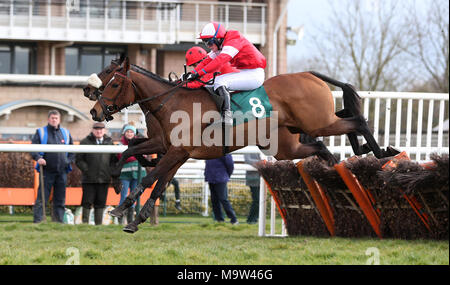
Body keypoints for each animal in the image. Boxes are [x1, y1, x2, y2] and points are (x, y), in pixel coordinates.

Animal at [90, 57, 398, 233]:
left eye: (113, 82)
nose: (94, 110)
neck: (172, 102)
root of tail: (310, 75)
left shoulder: (176, 151)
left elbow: (150, 178)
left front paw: (121, 209)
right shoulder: (173, 151)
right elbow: (138, 161)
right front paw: (130, 211)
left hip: (317, 122)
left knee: (357, 120)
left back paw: (380, 152)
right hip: (291, 142)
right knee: (328, 142)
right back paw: (342, 168)